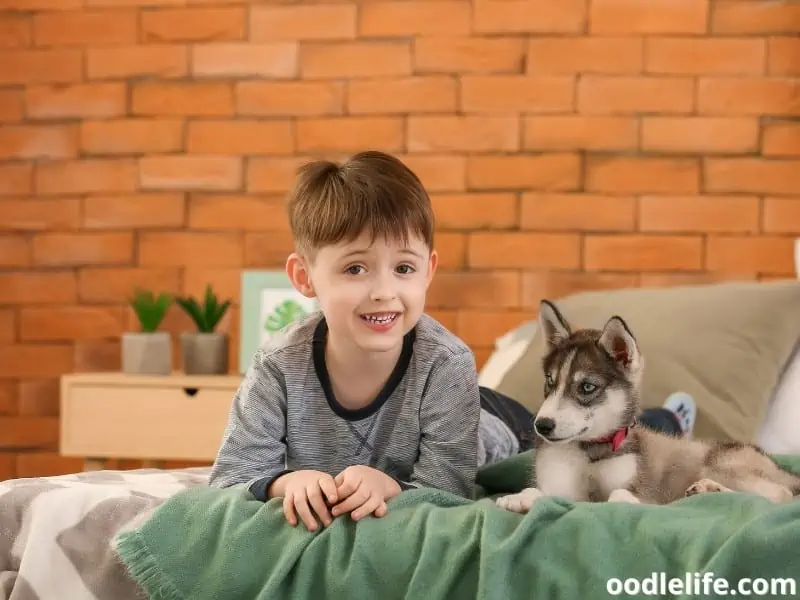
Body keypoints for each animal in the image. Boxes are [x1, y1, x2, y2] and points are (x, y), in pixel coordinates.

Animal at [496, 298, 796, 512]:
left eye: (587, 387)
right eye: (550, 381)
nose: (542, 426)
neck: (591, 452)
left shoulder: (640, 486)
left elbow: (618, 495)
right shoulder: (560, 480)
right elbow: (545, 493)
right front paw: (521, 497)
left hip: (722, 462)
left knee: (779, 496)